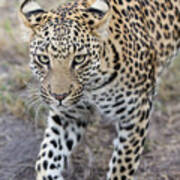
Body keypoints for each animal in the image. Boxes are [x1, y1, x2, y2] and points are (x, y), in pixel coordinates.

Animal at [19, 0, 180, 180]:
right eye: (43, 58)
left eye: (79, 59)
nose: (59, 96)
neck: (92, 86)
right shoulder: (69, 116)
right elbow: (45, 160)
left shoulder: (136, 115)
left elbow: (122, 166)